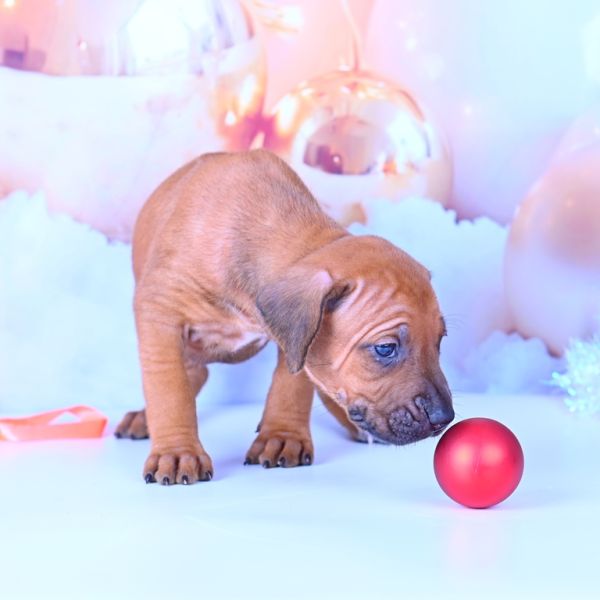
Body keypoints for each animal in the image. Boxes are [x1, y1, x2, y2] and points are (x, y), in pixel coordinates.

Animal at [115, 149, 454, 484]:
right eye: (385, 348)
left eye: (440, 342)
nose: (444, 419)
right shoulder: (159, 311)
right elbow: (169, 388)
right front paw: (177, 452)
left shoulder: (297, 341)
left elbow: (293, 384)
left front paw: (282, 436)